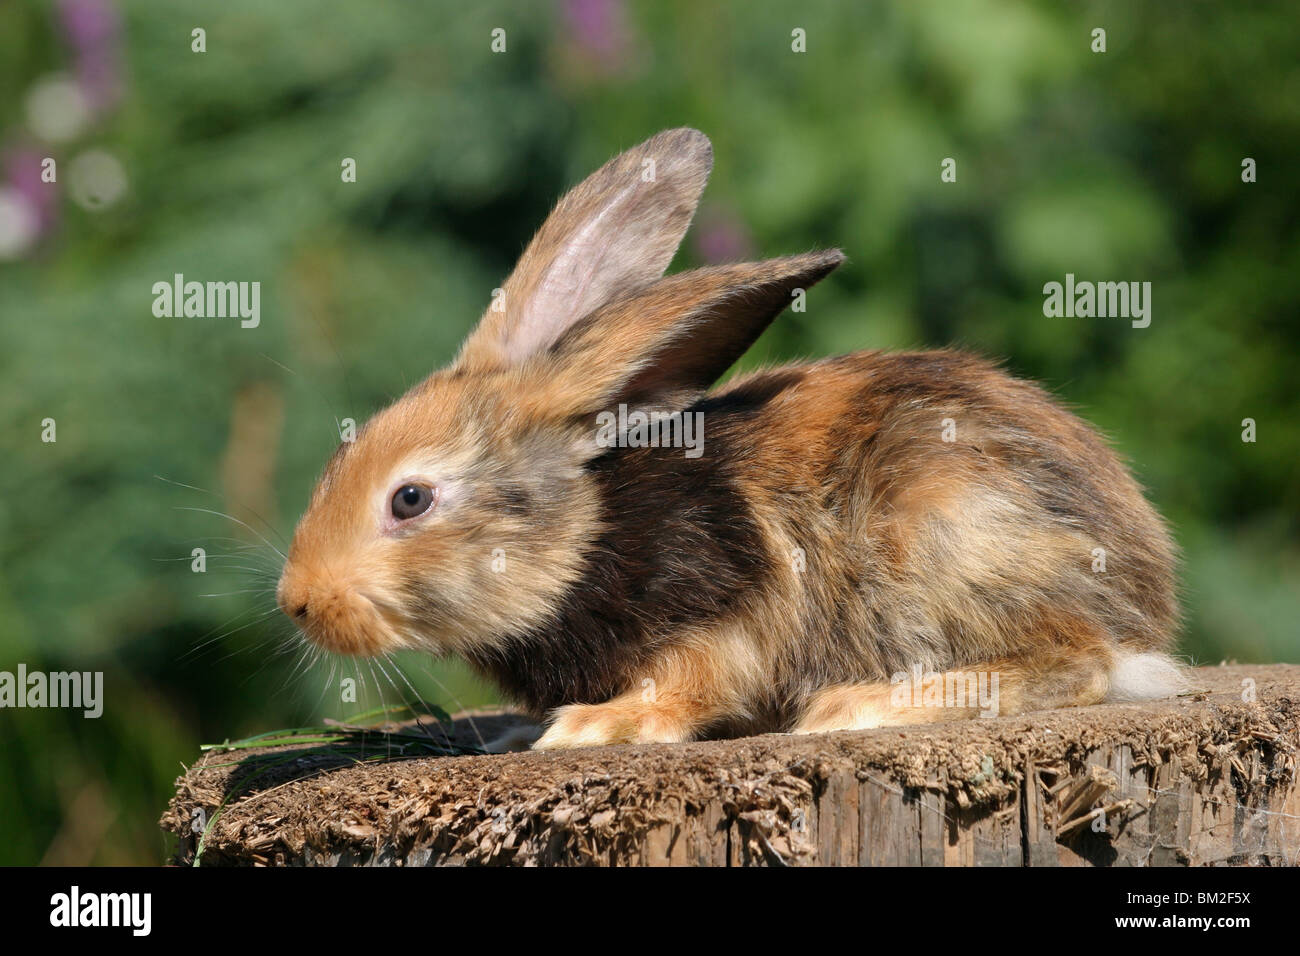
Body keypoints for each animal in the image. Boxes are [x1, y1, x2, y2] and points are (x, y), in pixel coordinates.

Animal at [276, 128, 1184, 751]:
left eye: (410, 499)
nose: (300, 601)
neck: (581, 533)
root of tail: (1148, 602)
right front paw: (513, 733)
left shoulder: (727, 613)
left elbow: (691, 684)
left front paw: (592, 726)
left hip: (955, 530)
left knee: (1077, 661)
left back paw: (858, 706)